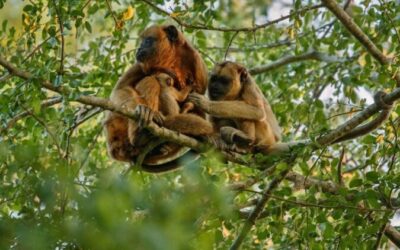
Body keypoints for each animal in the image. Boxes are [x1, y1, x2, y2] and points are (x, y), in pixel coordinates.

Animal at [104, 24, 212, 170]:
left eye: (148, 40)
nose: (139, 48)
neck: (172, 58)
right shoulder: (141, 64)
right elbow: (120, 89)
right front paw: (143, 110)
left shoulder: (198, 64)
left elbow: (198, 103)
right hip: (116, 129)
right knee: (150, 80)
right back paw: (141, 132)